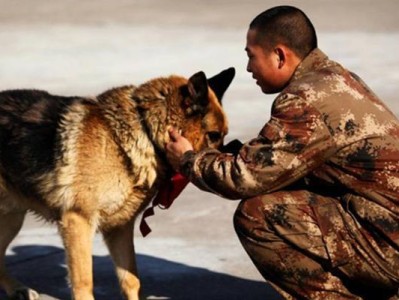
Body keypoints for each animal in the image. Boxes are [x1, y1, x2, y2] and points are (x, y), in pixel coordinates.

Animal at [0, 67, 234, 298]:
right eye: (214, 135)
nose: (229, 156)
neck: (145, 128)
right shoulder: (78, 221)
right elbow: (84, 283)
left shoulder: (120, 229)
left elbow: (131, 281)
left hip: (12, 218)